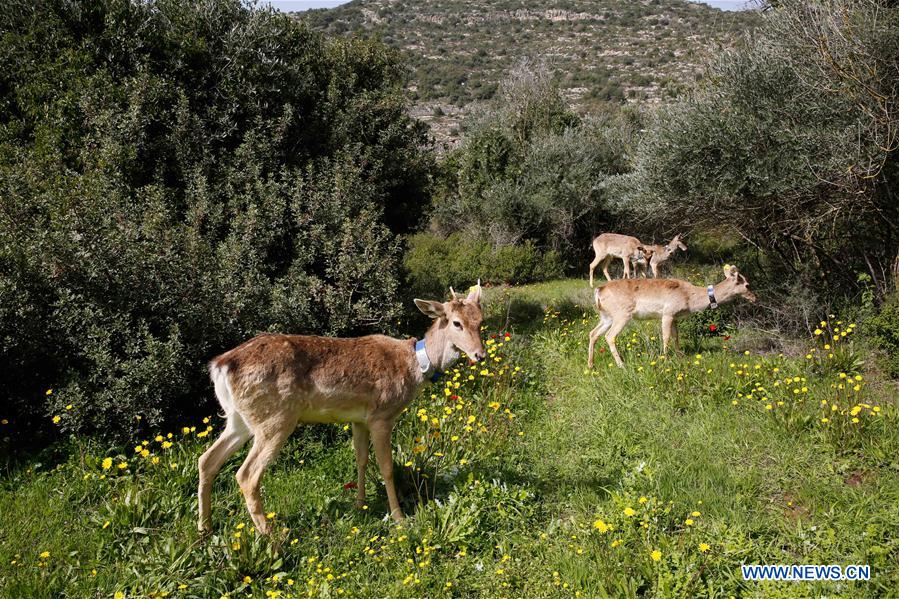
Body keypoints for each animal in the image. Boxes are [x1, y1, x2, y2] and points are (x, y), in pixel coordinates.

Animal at [199, 284, 486, 536]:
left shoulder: (358, 418)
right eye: (456, 323)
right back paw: (272, 537)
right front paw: (399, 517)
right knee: (246, 475)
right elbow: (386, 466)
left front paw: (360, 504)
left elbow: (361, 458)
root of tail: (221, 366)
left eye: (480, 322)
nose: (480, 354)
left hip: (239, 419)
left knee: (207, 460)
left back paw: (205, 530)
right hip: (276, 418)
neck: (415, 366)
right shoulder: (382, 415)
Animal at [588, 266, 756, 368]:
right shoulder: (668, 313)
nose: (755, 298)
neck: (690, 298)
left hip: (606, 316)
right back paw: (621, 365)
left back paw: (591, 365)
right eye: (747, 284)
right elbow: (666, 337)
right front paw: (666, 359)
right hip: (622, 314)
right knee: (610, 336)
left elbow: (676, 336)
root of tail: (598, 291)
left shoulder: (675, 317)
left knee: (593, 333)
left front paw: (680, 356)